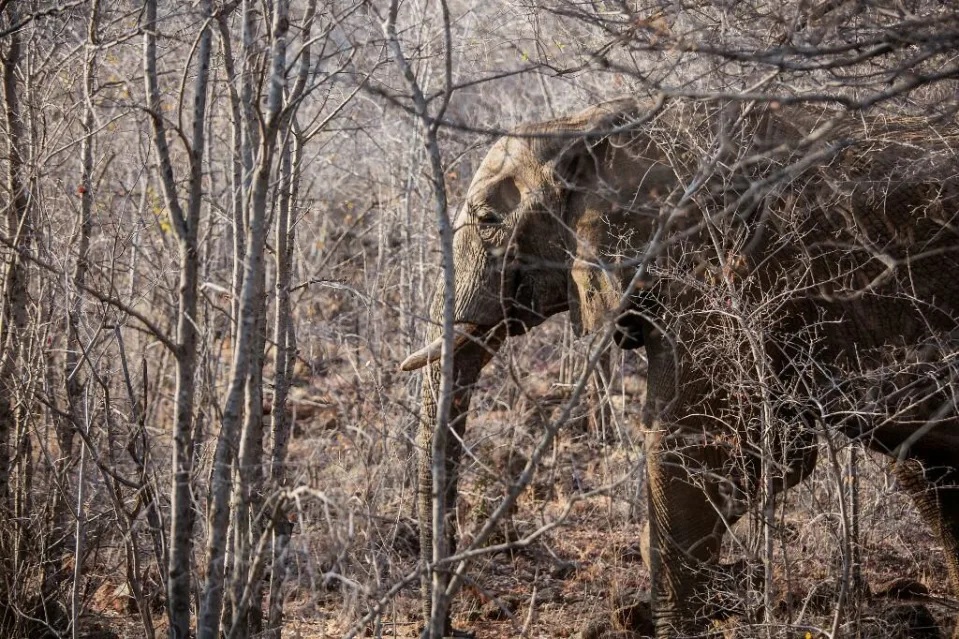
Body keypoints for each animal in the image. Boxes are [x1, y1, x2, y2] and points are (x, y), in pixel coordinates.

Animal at [402, 97, 959, 636]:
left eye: (487, 221)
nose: (452, 628)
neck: (598, 121)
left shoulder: (718, 265)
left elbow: (692, 440)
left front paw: (672, 619)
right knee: (924, 470)